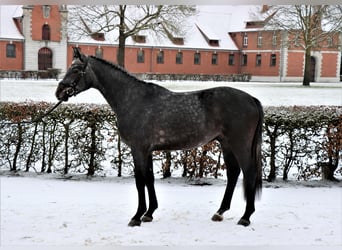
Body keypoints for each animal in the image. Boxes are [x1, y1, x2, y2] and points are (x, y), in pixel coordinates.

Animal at [56, 47, 264, 228]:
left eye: (75, 69)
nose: (59, 92)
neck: (133, 100)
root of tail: (251, 99)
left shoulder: (138, 149)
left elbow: (140, 181)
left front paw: (136, 216)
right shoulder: (147, 150)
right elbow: (149, 179)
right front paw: (149, 213)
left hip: (240, 145)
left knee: (249, 172)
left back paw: (246, 217)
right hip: (226, 144)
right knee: (233, 173)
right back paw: (220, 212)